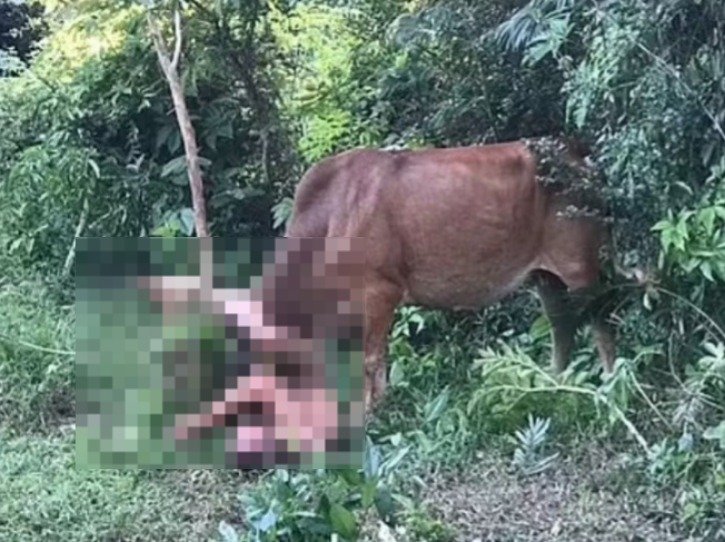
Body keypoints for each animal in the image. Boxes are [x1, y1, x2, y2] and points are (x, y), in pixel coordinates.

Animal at [285, 136, 641, 414]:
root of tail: (580, 155)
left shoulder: (379, 292)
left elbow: (369, 359)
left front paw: (371, 415)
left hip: (579, 264)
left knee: (601, 321)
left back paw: (612, 387)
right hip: (545, 275)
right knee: (562, 326)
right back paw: (554, 385)